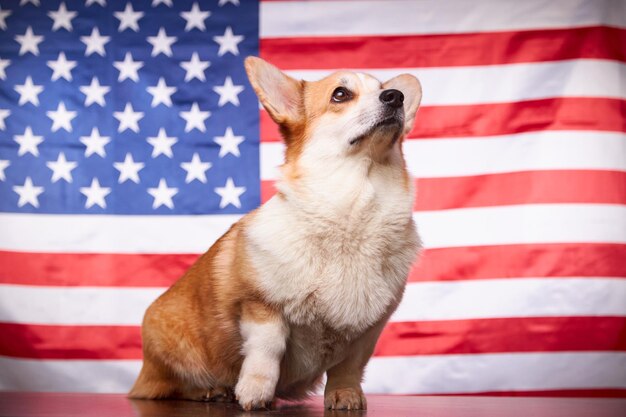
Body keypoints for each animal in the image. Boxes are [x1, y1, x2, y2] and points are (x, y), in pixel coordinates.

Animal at [127, 56, 422, 410]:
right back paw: (210, 390)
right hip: (169, 345)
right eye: (340, 94)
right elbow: (267, 350)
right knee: (170, 386)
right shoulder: (261, 306)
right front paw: (255, 393)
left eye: (383, 89)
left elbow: (348, 367)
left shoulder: (367, 331)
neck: (352, 207)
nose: (395, 97)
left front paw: (345, 395)